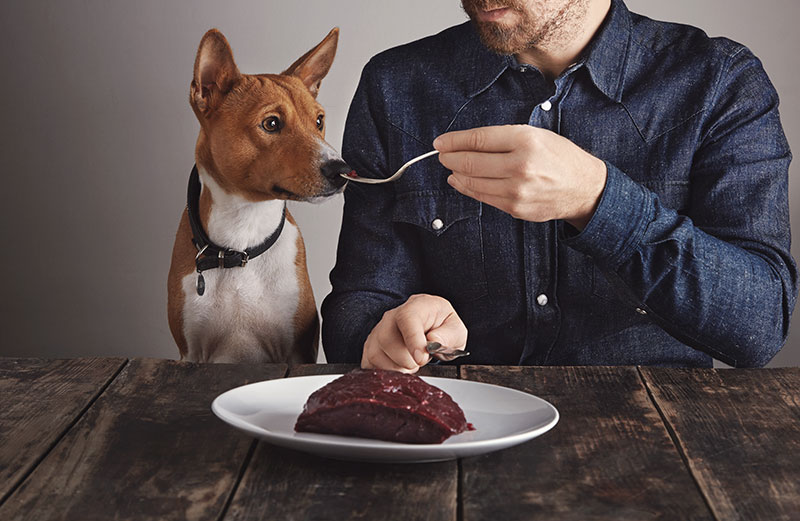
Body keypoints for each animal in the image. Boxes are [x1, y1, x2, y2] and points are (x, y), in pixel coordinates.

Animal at [166, 27, 346, 362]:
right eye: (271, 123)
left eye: (319, 121)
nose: (342, 169)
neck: (242, 241)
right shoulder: (191, 353)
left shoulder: (296, 350)